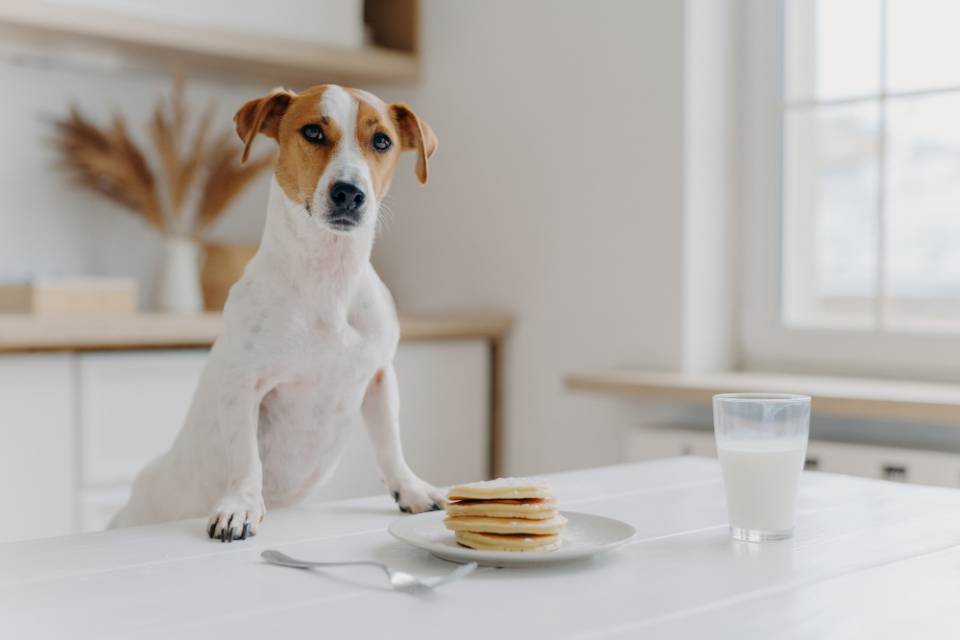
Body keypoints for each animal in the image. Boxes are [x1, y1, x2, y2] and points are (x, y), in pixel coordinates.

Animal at [108, 84, 442, 540]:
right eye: (313, 132)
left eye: (381, 141)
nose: (349, 193)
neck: (328, 278)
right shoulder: (244, 384)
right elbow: (246, 456)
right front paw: (241, 507)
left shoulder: (379, 376)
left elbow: (390, 442)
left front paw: (410, 489)